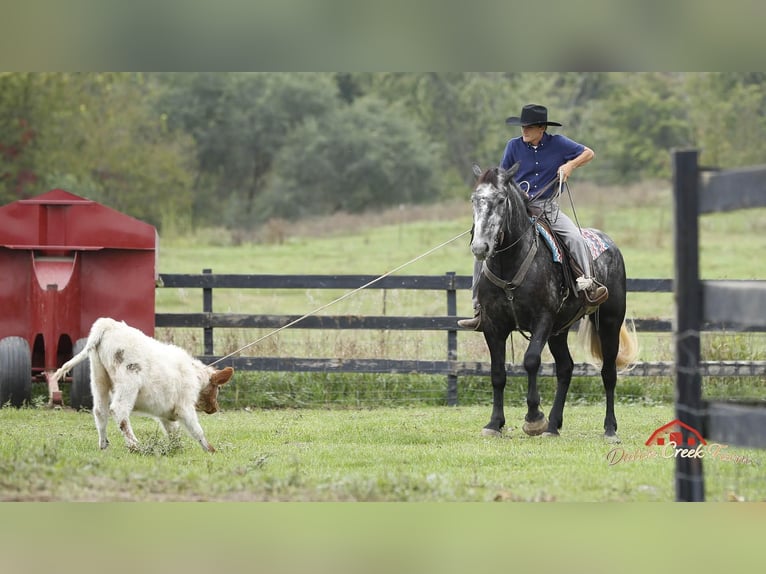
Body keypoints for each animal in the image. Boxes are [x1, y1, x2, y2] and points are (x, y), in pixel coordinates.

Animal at [468, 163, 639, 441]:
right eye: (474, 199)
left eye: (501, 200)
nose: (480, 247)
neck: (510, 263)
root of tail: (609, 243)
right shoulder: (494, 326)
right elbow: (497, 373)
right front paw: (494, 423)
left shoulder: (542, 319)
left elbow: (531, 361)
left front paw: (533, 419)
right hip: (559, 330)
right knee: (566, 368)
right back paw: (553, 425)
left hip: (609, 322)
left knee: (608, 372)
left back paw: (609, 428)